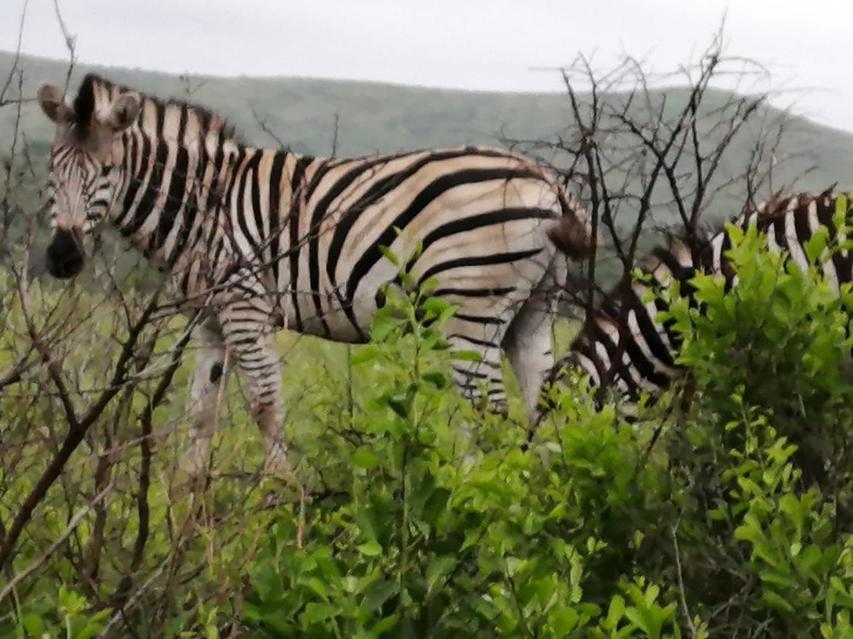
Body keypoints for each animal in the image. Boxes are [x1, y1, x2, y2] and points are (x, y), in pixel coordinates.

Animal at [36, 73, 593, 473]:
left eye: (107, 172)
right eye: (52, 169)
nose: (62, 258)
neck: (205, 203)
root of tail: (548, 181)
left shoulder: (246, 306)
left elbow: (266, 408)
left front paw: (279, 507)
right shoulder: (211, 319)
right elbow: (200, 416)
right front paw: (186, 520)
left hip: (470, 312)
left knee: (488, 414)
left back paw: (479, 505)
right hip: (532, 313)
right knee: (547, 408)